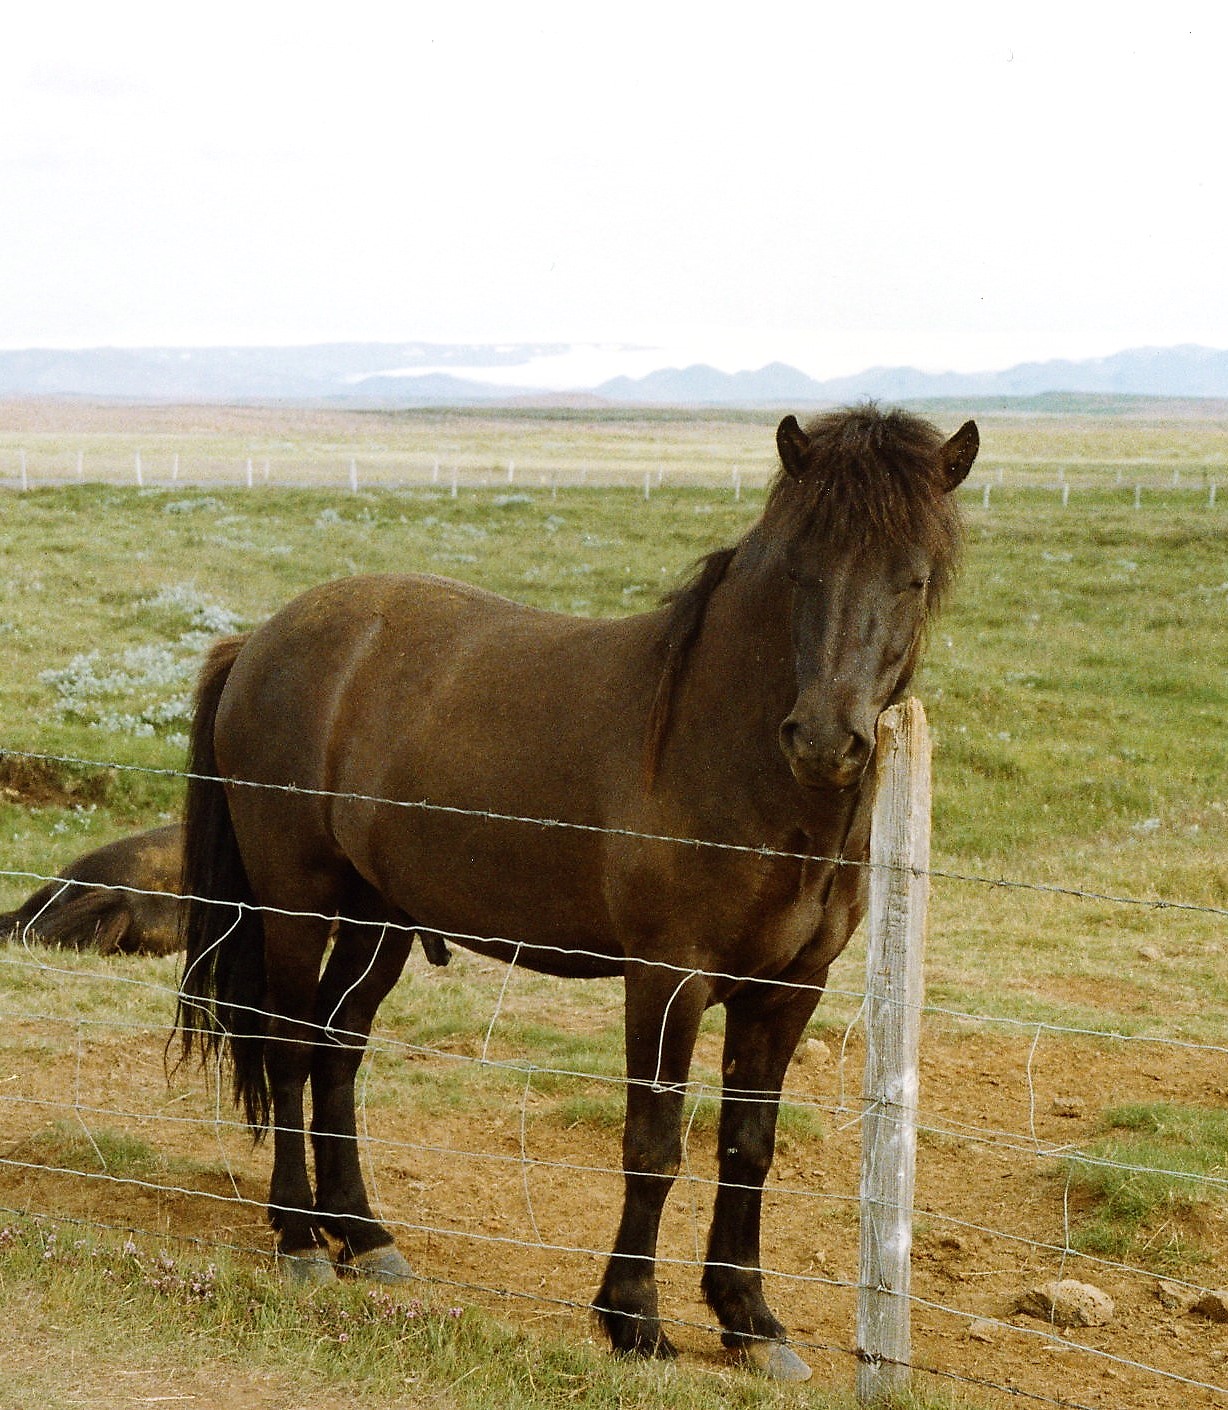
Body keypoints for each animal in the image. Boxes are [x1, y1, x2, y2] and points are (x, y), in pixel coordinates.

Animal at [176, 404, 977, 1381]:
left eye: (914, 578)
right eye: (800, 568)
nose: (826, 741)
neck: (724, 750)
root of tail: (260, 638)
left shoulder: (789, 990)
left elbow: (748, 1147)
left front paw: (752, 1322)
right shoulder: (668, 979)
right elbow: (655, 1145)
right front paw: (635, 1318)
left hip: (378, 920)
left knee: (336, 1050)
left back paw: (364, 1236)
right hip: (298, 902)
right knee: (289, 1047)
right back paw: (298, 1239)